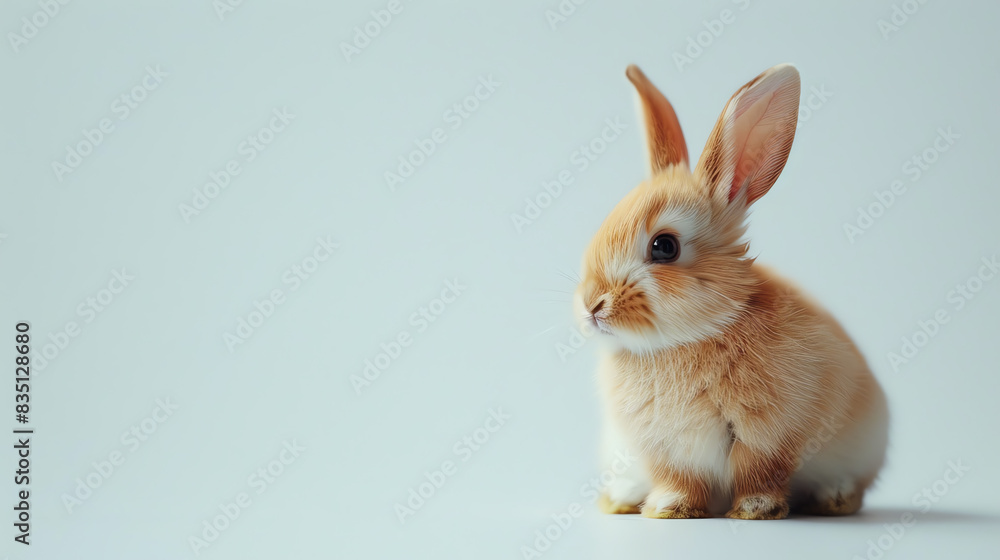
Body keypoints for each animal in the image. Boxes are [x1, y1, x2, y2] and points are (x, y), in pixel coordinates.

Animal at [574, 64, 888, 519]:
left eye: (664, 247)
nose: (591, 306)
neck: (688, 338)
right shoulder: (664, 451)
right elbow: (680, 480)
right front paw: (668, 508)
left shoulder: (768, 435)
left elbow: (758, 472)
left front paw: (755, 510)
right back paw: (620, 499)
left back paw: (834, 498)